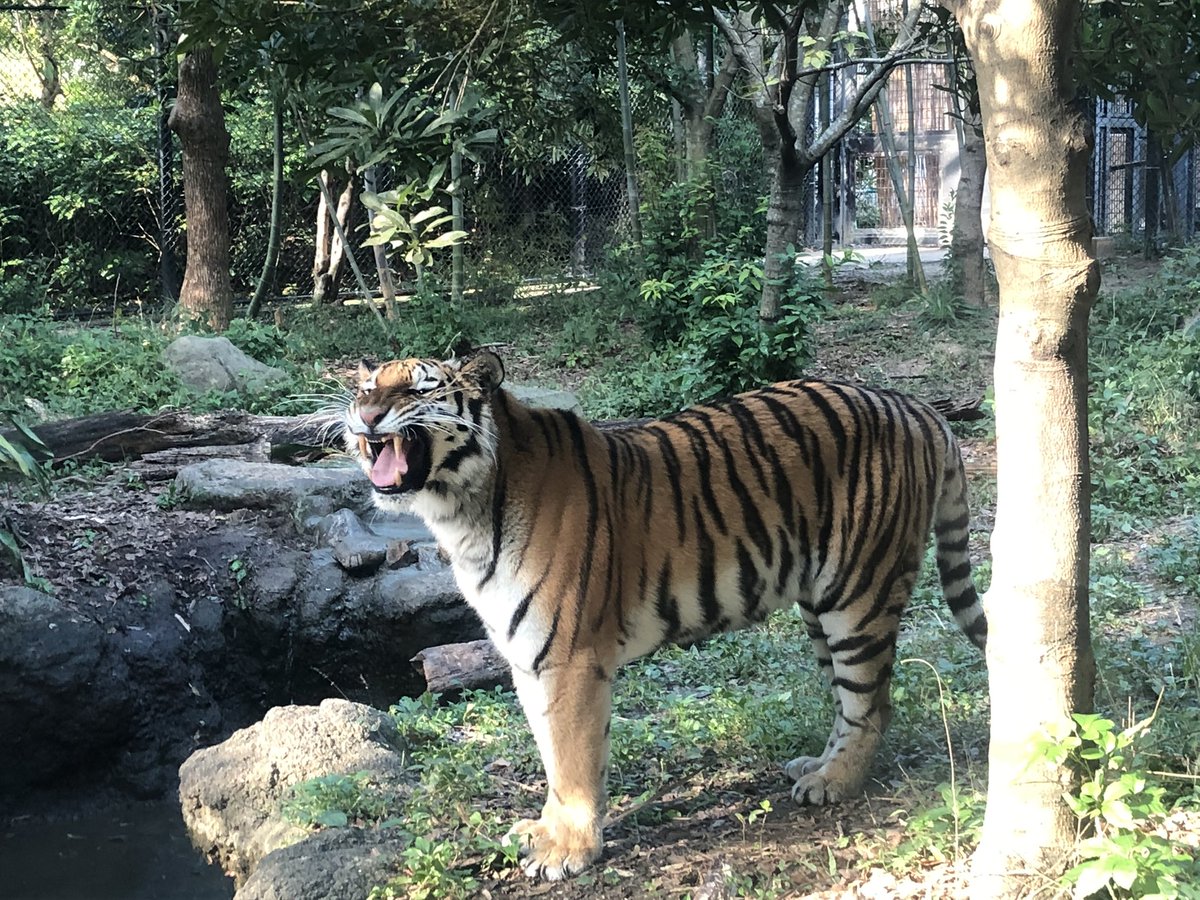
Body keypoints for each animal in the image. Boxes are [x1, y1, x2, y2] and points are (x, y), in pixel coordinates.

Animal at [343, 350, 986, 881]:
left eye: (416, 388)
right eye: (368, 386)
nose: (367, 414)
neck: (461, 512)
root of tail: (915, 405)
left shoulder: (569, 655)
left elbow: (572, 756)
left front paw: (569, 850)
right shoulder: (527, 655)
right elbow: (550, 754)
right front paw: (545, 831)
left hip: (857, 593)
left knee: (871, 703)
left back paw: (833, 782)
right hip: (820, 604)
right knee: (848, 696)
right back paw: (814, 765)